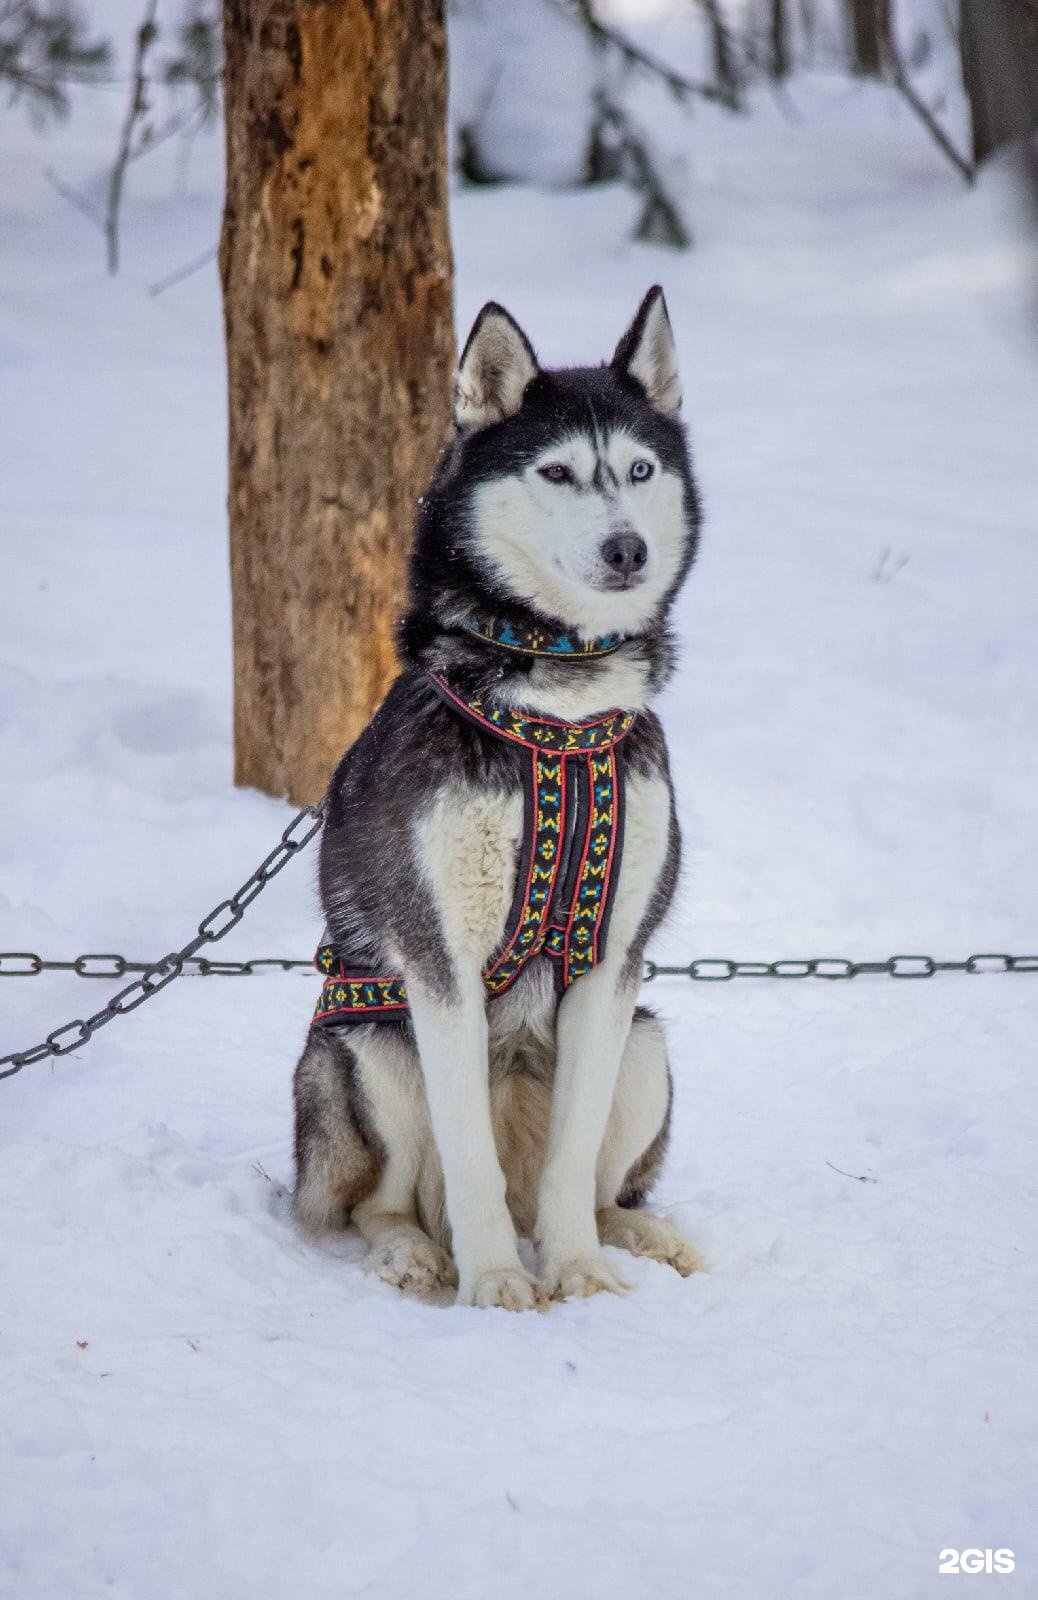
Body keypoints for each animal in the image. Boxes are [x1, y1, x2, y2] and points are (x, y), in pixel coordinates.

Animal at [287, 288, 700, 1312]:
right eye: (556, 472)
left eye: (639, 469)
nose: (627, 547)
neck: (558, 708)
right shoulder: (439, 964)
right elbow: (467, 1154)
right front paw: (495, 1284)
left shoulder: (613, 967)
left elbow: (572, 1164)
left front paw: (578, 1268)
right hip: (369, 1045)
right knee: (386, 1201)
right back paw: (417, 1252)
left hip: (647, 1046)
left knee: (591, 1183)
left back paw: (634, 1234)